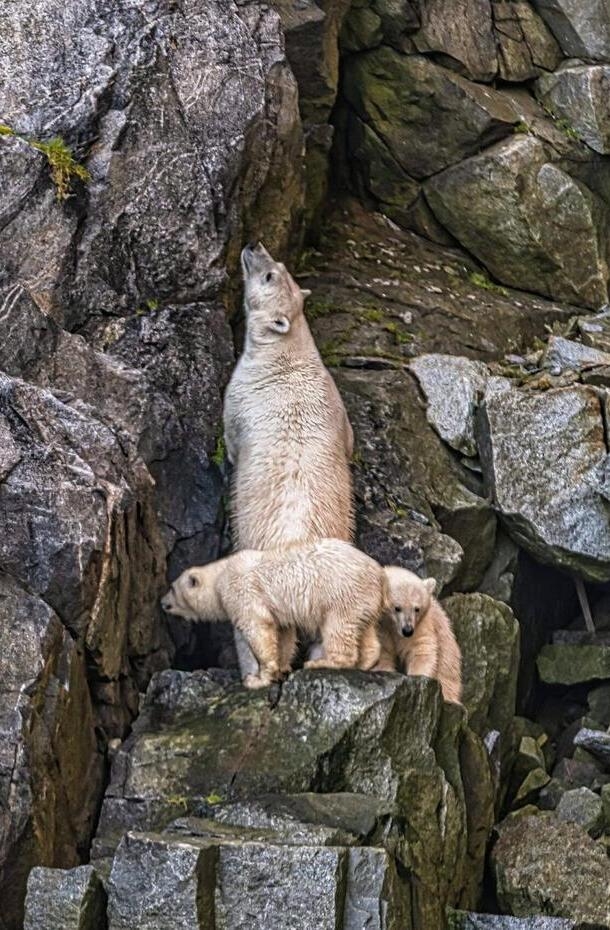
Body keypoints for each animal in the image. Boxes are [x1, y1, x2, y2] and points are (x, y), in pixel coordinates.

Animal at [161, 539, 384, 689]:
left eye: (171, 588)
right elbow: (282, 633)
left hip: (341, 592)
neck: (220, 576)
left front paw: (257, 679)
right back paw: (365, 662)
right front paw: (281, 668)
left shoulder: (241, 590)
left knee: (338, 627)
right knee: (363, 628)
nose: (162, 602)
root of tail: (379, 574)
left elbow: (257, 627)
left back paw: (322, 662)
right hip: (362, 600)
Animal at [222, 242, 356, 677]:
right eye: (278, 265)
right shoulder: (337, 404)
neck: (287, 355)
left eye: (270, 275)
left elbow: (230, 435)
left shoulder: (240, 394)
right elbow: (350, 441)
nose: (253, 246)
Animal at [375, 567, 462, 704]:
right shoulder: (381, 626)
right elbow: (383, 651)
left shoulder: (422, 624)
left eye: (417, 608)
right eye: (397, 608)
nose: (407, 630)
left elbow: (421, 649)